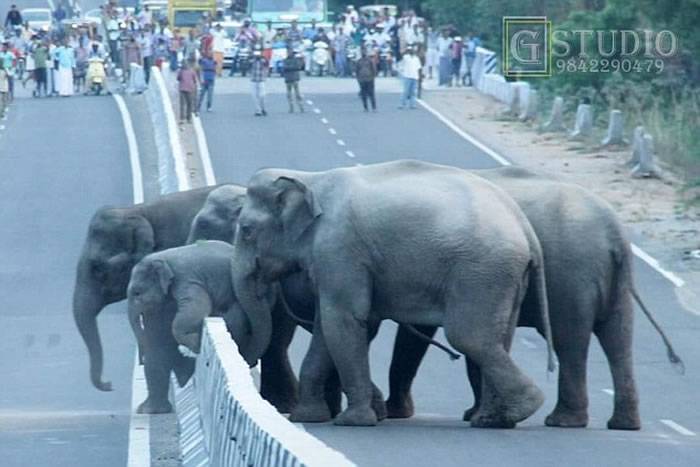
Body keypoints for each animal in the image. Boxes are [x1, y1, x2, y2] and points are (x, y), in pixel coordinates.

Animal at [232, 161, 556, 428]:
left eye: (246, 230)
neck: (310, 178)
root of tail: (524, 227)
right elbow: (328, 325)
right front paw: (308, 418)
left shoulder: (339, 248)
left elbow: (343, 320)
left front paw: (354, 422)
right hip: (505, 275)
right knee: (499, 338)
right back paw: (494, 419)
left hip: (480, 271)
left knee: (469, 336)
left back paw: (524, 407)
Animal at [386, 167, 680, 432]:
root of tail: (614, 230)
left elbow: (421, 333)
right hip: (612, 283)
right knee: (617, 340)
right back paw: (623, 424)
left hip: (572, 278)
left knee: (569, 341)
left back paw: (562, 421)